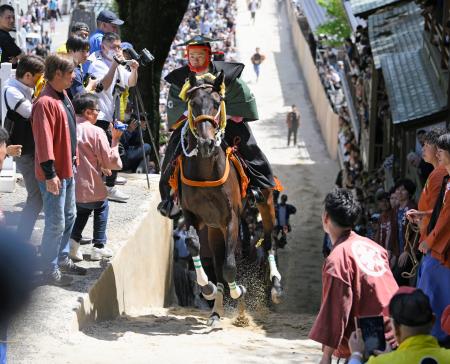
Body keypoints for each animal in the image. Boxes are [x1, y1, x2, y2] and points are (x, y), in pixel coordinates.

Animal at [179, 70, 282, 324]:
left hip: (265, 202)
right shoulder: (192, 214)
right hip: (214, 228)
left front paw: (239, 291)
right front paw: (207, 288)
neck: (206, 171)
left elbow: (229, 265)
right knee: (216, 259)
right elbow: (194, 245)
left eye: (217, 103)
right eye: (193, 104)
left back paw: (275, 286)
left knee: (269, 239)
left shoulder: (231, 218)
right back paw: (216, 310)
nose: (206, 143)